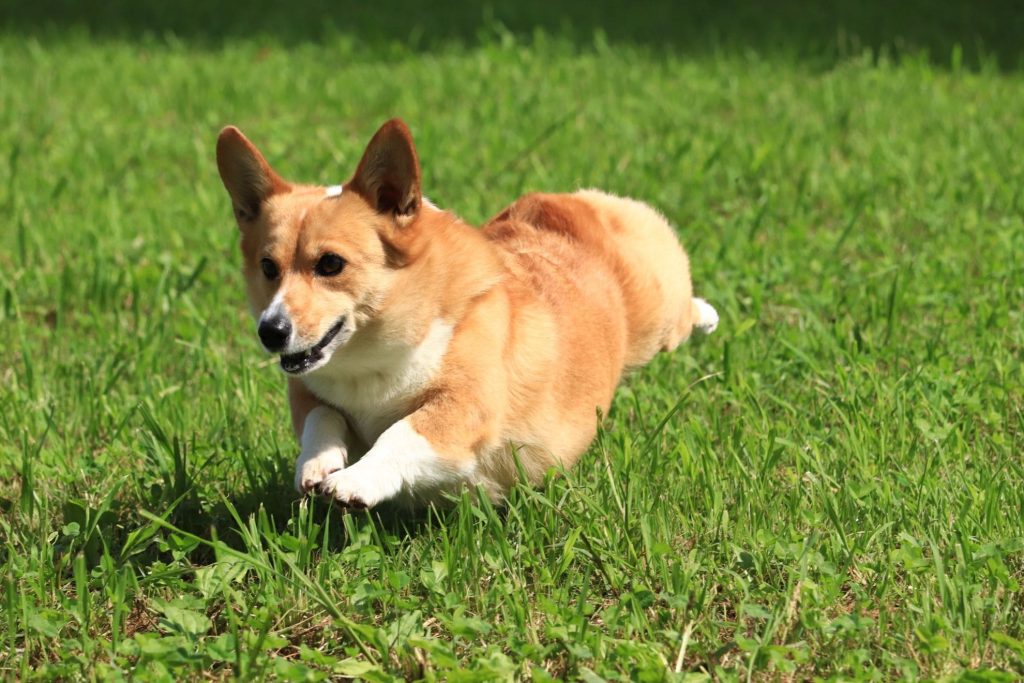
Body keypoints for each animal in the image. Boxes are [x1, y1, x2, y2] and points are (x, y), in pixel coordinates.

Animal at [214, 118, 720, 507]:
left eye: (330, 264)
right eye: (268, 267)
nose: (270, 332)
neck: (373, 359)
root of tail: (573, 199)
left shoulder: (465, 407)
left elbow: (401, 432)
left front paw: (355, 480)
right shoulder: (309, 392)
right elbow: (322, 419)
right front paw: (316, 465)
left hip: (656, 316)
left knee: (681, 307)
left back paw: (707, 314)